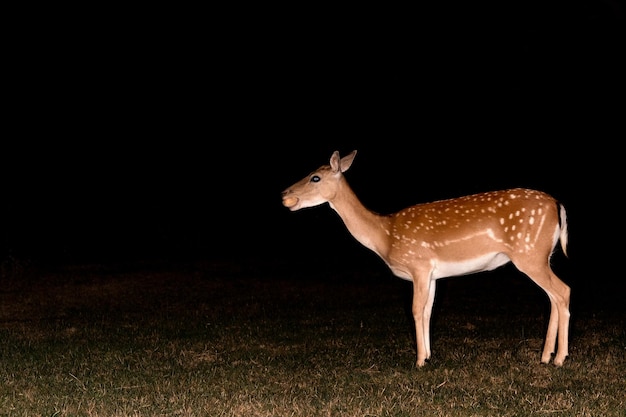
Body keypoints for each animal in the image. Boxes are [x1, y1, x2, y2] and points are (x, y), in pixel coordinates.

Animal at [282, 148, 572, 366]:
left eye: (315, 177)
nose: (285, 193)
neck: (385, 235)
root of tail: (558, 206)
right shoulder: (433, 274)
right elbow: (428, 311)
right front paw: (430, 355)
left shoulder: (418, 264)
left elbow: (414, 309)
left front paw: (420, 360)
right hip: (542, 255)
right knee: (553, 296)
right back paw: (546, 355)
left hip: (529, 253)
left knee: (562, 291)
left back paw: (559, 358)